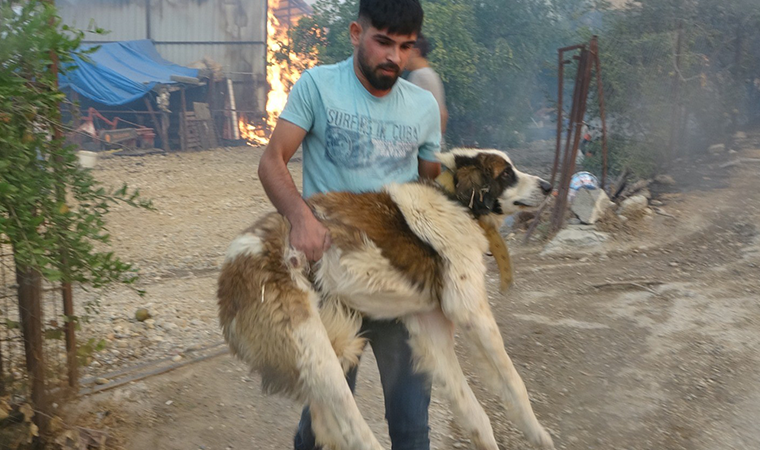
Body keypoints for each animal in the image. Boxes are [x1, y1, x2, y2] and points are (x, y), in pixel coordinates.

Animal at [217, 150, 556, 450]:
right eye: (507, 174)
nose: (549, 186)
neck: (456, 201)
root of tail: (230, 270)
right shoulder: (472, 312)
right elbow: (515, 382)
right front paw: (539, 435)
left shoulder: (432, 329)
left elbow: (474, 411)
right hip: (318, 355)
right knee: (350, 429)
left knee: (324, 426)